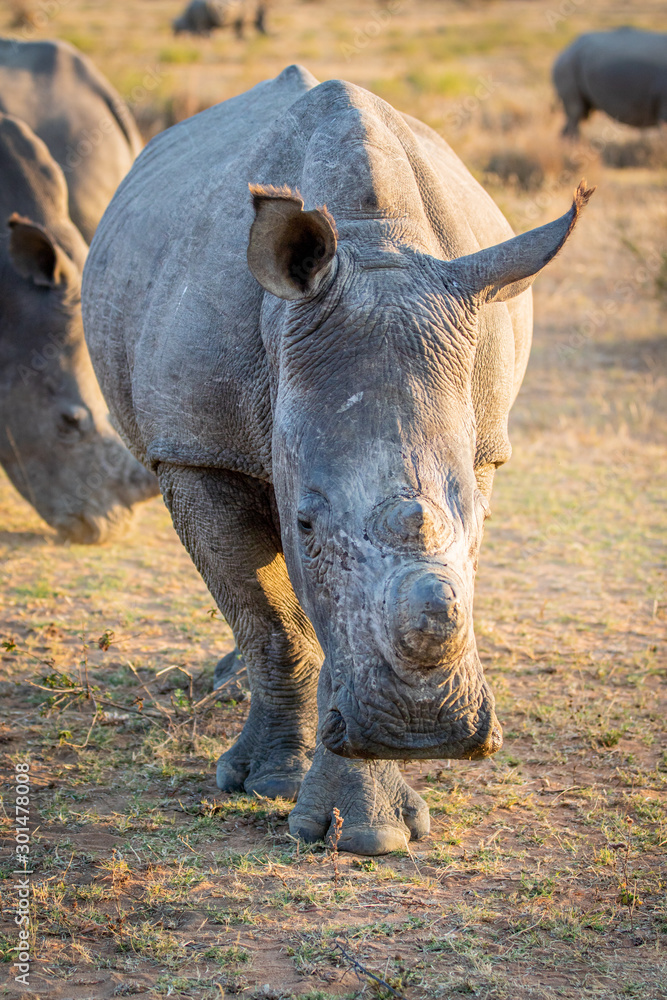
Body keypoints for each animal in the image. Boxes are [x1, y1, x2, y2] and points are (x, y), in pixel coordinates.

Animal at [83, 66, 592, 853]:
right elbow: (271, 619)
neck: (372, 244)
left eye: (478, 520)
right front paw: (272, 788)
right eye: (308, 524)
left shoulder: (481, 444)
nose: (422, 730)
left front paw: (371, 830)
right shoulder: (197, 450)